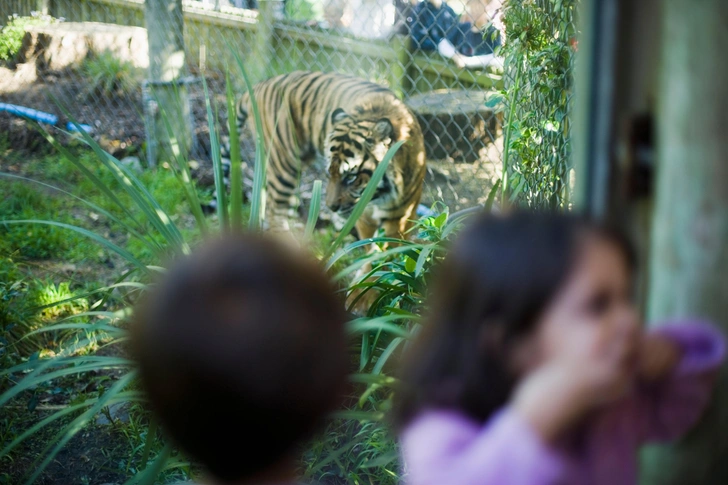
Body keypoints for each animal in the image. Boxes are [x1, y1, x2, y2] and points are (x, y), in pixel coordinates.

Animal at [223, 69, 426, 242]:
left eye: (351, 177)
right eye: (330, 173)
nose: (331, 208)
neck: (380, 195)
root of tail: (261, 84)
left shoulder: (401, 217)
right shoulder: (363, 214)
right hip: (284, 164)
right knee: (275, 210)